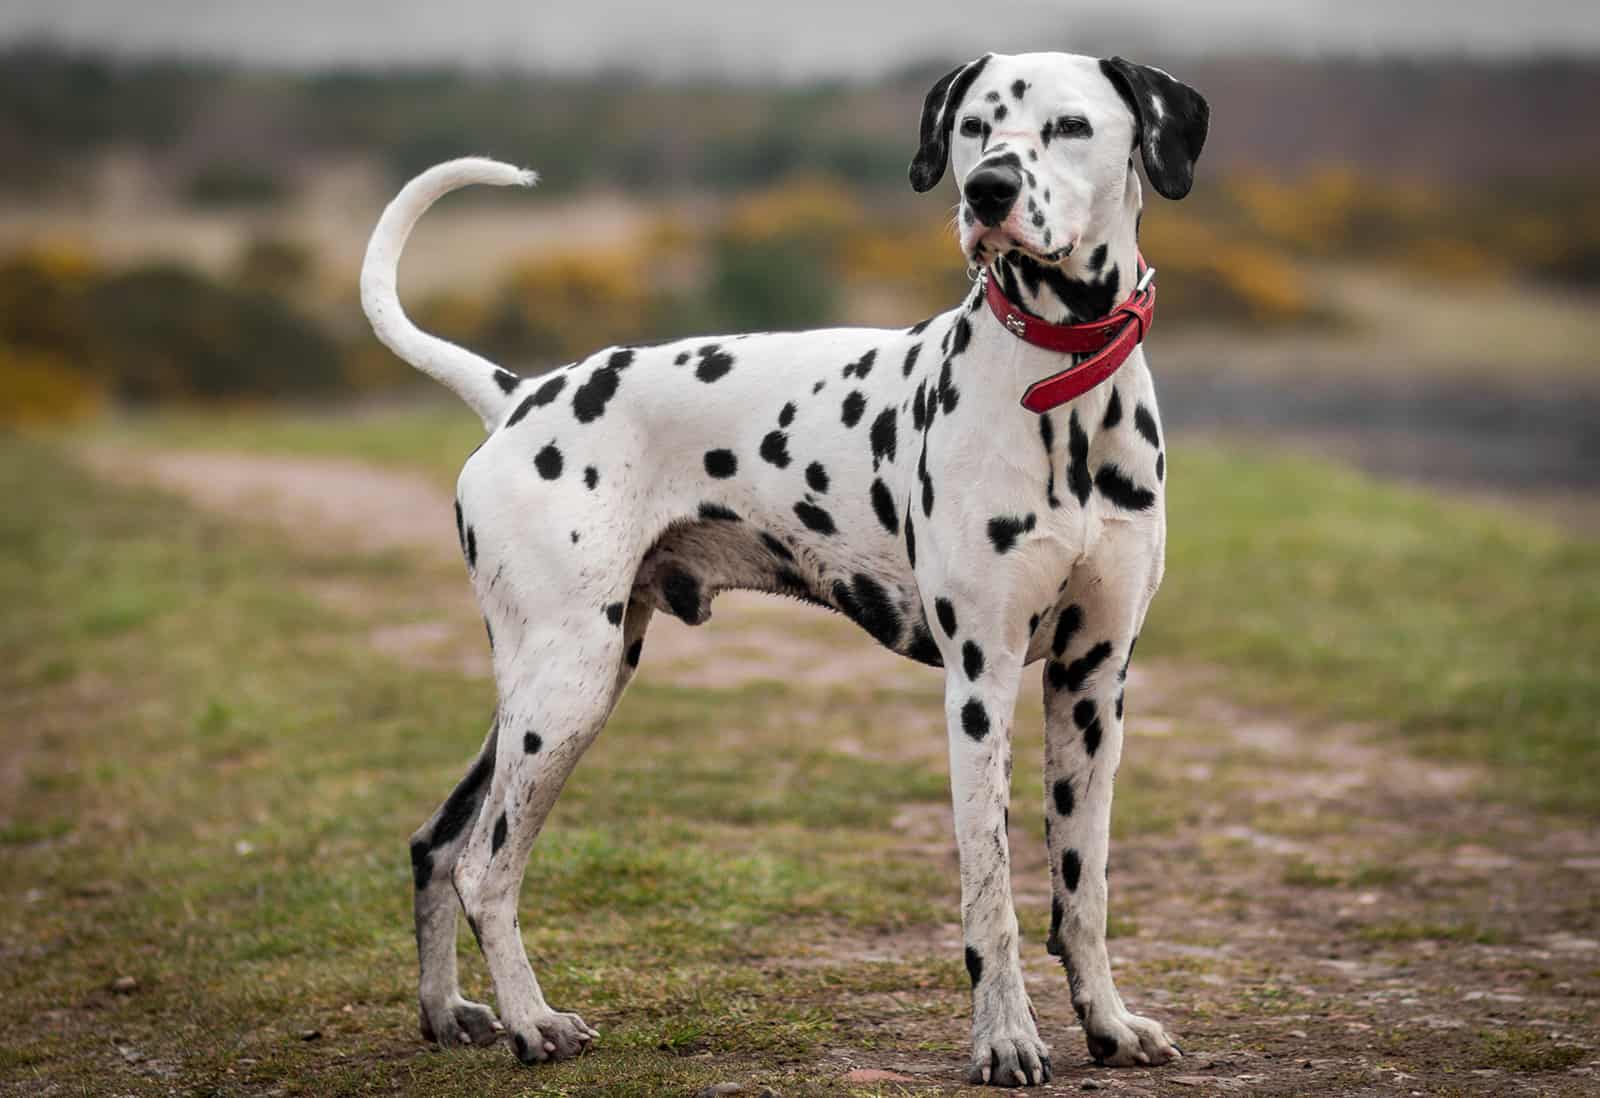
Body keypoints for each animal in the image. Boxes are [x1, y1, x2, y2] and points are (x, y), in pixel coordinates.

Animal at [363, 49, 1203, 1081]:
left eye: (1071, 126)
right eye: (975, 126)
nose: (988, 190)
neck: (1061, 391)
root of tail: (519, 395)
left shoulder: (1092, 682)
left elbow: (1083, 889)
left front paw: (1110, 1023)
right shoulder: (982, 683)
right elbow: (992, 896)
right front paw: (1006, 1038)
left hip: (548, 690)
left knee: (437, 844)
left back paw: (447, 1010)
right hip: (566, 689)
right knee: (487, 867)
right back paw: (533, 1021)